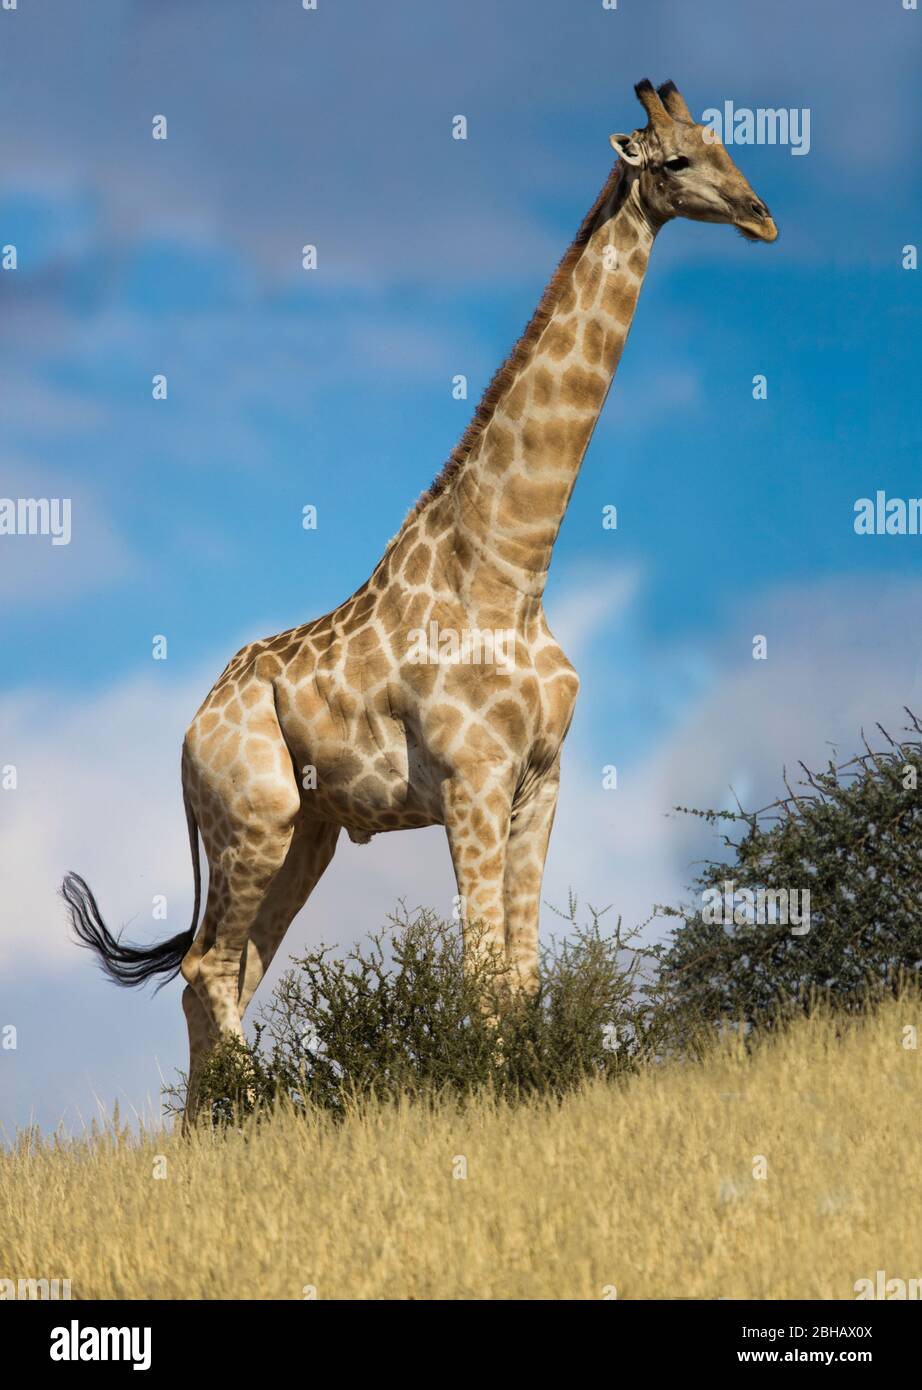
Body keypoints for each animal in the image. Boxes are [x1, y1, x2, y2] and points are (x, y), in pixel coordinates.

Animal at [63, 80, 777, 1116]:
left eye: (726, 142)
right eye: (678, 160)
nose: (762, 215)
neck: (512, 569)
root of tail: (189, 732)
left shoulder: (541, 780)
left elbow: (521, 972)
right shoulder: (474, 784)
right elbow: (480, 970)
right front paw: (490, 1098)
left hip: (306, 834)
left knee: (224, 971)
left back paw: (206, 1133)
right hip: (254, 819)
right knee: (207, 968)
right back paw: (264, 1113)